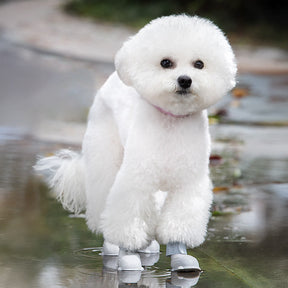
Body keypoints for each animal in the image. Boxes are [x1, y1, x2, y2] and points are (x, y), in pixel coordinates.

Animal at [34, 14, 236, 272]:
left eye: (199, 64)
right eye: (166, 63)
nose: (185, 80)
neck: (171, 120)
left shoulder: (187, 184)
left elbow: (178, 221)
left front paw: (180, 256)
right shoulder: (136, 180)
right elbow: (128, 217)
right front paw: (128, 255)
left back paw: (148, 247)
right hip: (106, 159)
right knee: (105, 206)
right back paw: (113, 249)